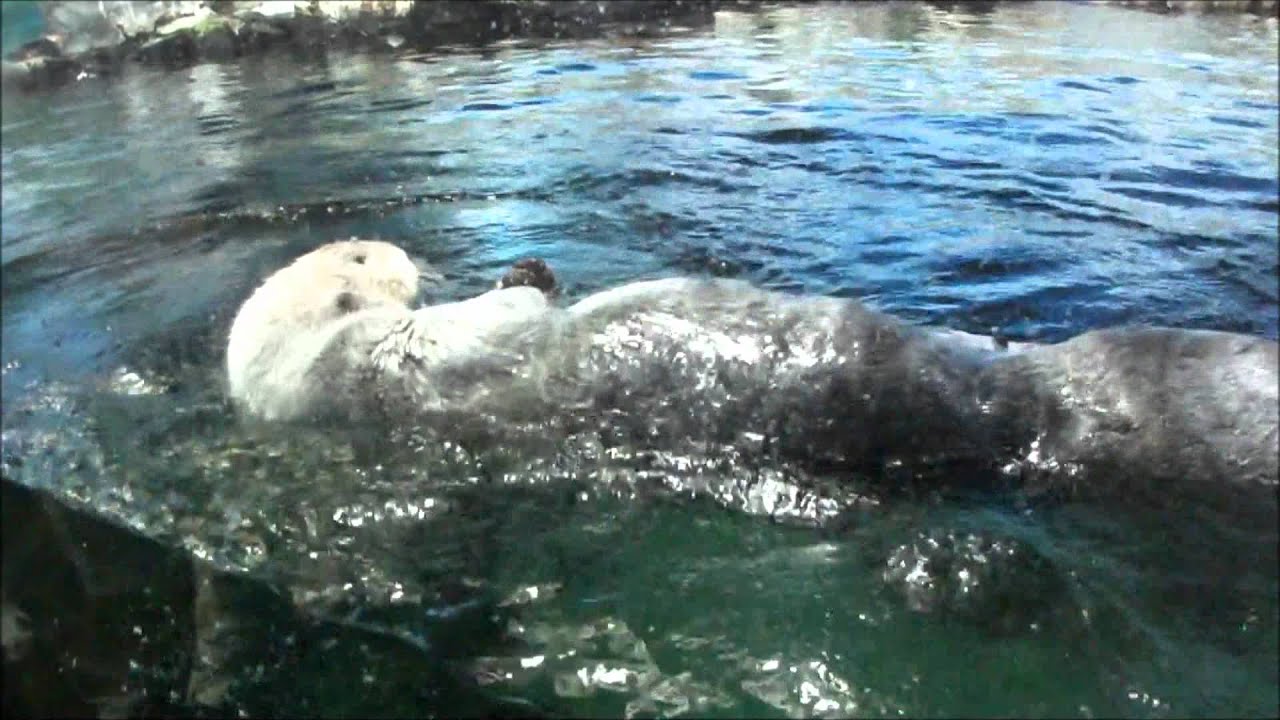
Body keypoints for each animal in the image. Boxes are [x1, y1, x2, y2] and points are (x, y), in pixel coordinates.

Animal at [225, 240, 1278, 512]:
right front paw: (525, 282)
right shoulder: (402, 356)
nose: (404, 250)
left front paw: (531, 267)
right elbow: (501, 325)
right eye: (363, 257)